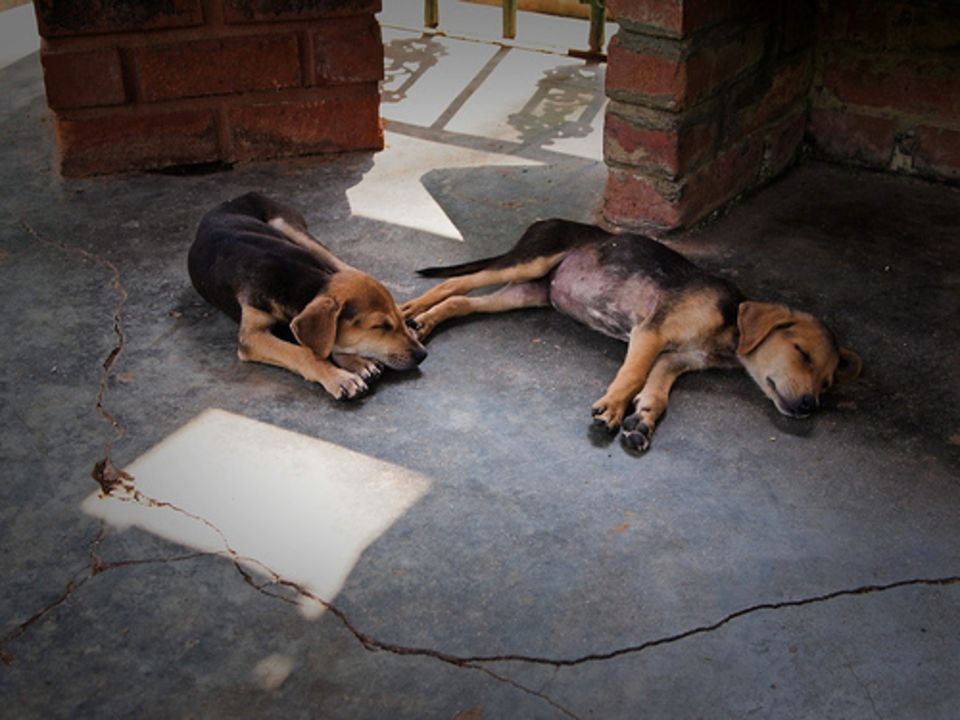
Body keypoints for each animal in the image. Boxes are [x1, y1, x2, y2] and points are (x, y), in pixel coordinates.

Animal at [189, 193, 426, 400]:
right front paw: (341, 376)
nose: (422, 355)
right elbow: (303, 352)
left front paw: (356, 361)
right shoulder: (251, 336)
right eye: (380, 327)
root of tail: (240, 196)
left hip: (291, 229)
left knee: (346, 266)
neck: (292, 278)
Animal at [400, 219, 864, 450]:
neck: (729, 326)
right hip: (529, 261)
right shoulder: (650, 333)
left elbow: (655, 392)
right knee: (456, 283)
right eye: (801, 352)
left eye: (827, 383)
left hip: (529, 292)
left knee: (462, 303)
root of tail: (542, 221)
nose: (808, 407)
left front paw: (642, 421)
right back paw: (409, 312)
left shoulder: (674, 360)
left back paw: (425, 323)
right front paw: (612, 408)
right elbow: (633, 374)